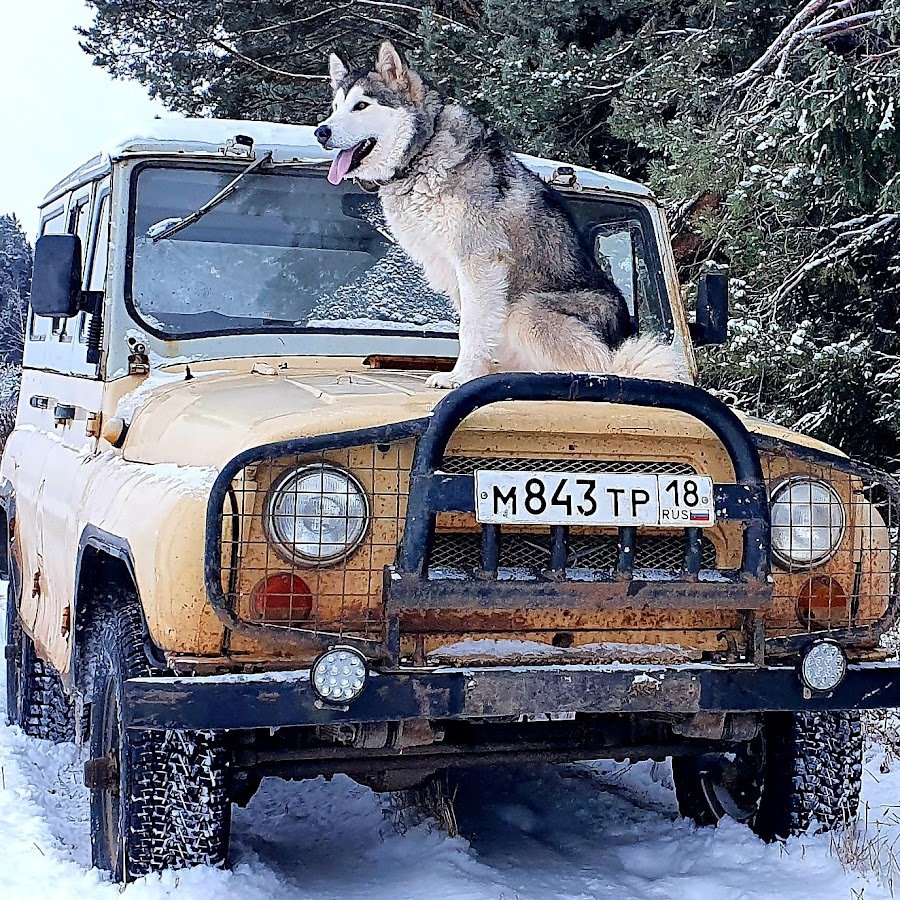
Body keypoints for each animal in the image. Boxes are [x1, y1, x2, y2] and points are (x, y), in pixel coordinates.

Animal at [314, 41, 684, 386]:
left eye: (361, 105)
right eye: (335, 108)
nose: (321, 131)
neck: (422, 153)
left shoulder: (479, 260)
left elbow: (471, 329)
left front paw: (459, 378)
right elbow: (477, 328)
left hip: (526, 310)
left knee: (602, 364)